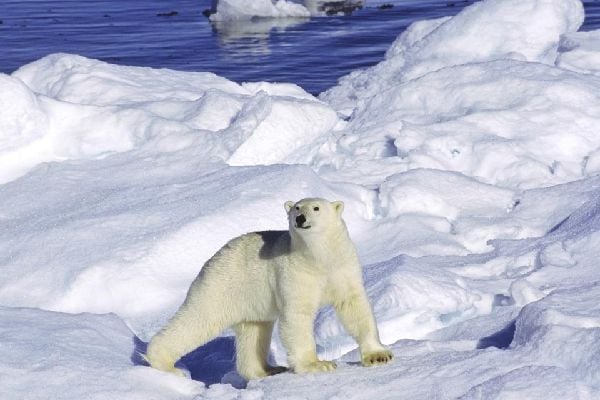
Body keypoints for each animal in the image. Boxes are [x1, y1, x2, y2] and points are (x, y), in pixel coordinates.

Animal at [146, 198, 394, 380]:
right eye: (296, 208)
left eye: (316, 207)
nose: (300, 218)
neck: (319, 258)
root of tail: (210, 261)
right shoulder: (295, 273)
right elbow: (297, 316)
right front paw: (318, 365)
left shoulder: (342, 268)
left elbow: (354, 306)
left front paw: (379, 356)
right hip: (221, 287)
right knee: (197, 320)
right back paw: (166, 364)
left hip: (250, 302)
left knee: (254, 332)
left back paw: (267, 370)